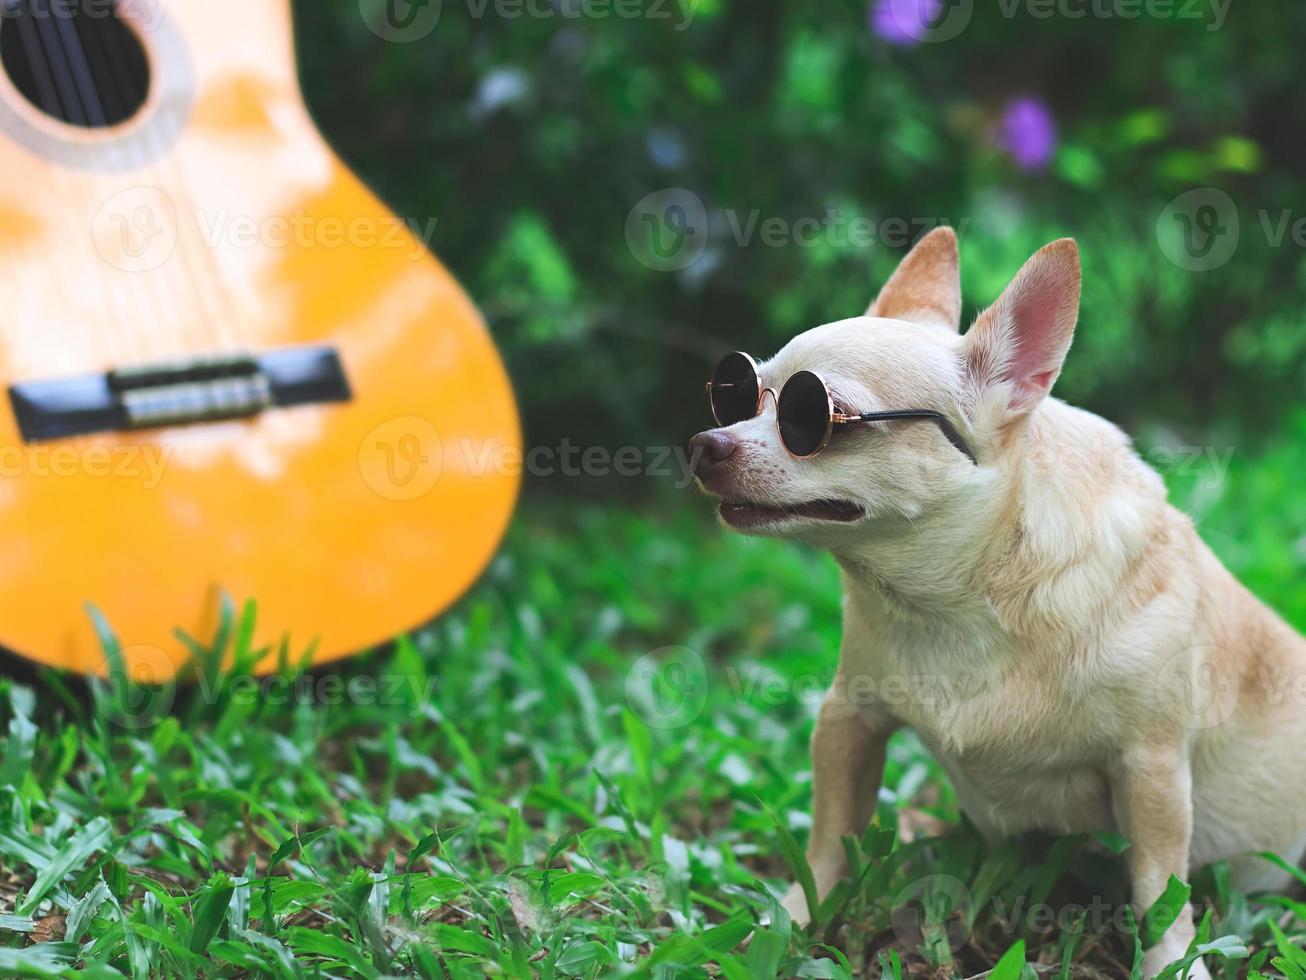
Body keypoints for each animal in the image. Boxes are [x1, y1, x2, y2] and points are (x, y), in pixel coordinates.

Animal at [700, 228, 1306, 977]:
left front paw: (1173, 962)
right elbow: (829, 839)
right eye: (738, 396)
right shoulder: (849, 718)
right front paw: (792, 922)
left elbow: (1158, 886)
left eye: (810, 416)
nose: (705, 443)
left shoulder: (1153, 768)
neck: (961, 597)